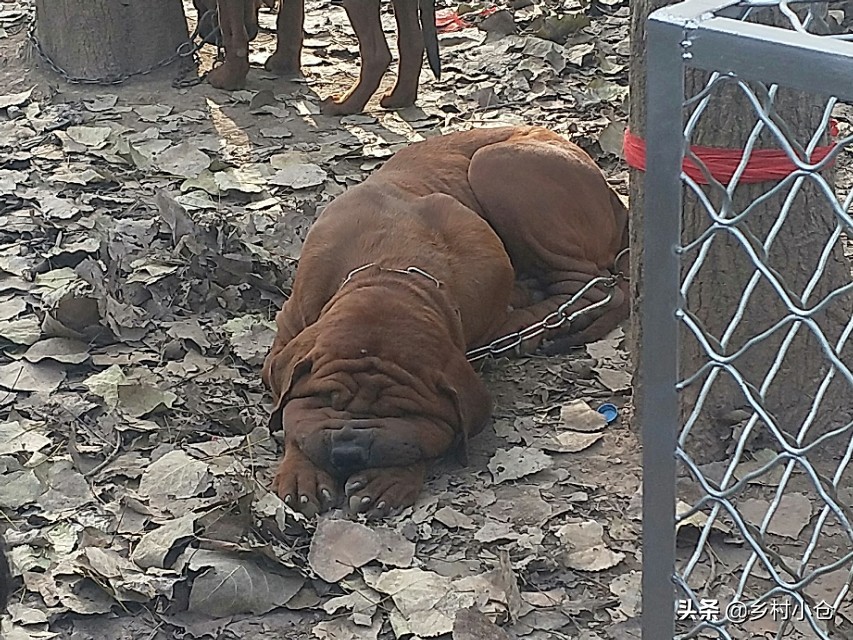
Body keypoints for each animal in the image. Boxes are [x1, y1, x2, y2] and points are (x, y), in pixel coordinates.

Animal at [198, 0, 440, 115]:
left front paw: (228, 78)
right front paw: (284, 63)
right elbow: (289, 19)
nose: (205, 35)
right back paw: (400, 97)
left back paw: (345, 105)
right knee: (413, 43)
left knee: (377, 54)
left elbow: (232, 32)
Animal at [262, 126, 628, 520]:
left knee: (591, 286)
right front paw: (303, 472)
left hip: (499, 167)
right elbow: (292, 414)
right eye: (326, 398)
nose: (350, 450)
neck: (390, 272)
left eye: (405, 412)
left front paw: (389, 478)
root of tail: (614, 198)